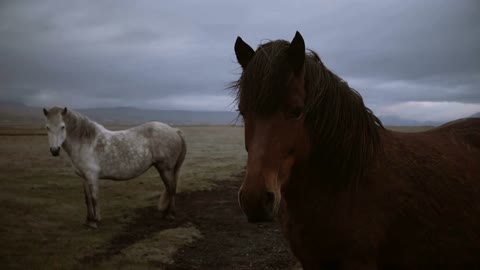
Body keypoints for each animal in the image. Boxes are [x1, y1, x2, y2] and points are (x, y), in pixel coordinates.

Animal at [43, 107, 187, 228]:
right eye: (47, 127)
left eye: (62, 127)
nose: (54, 150)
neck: (86, 142)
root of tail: (175, 131)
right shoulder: (83, 177)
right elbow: (87, 199)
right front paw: (88, 220)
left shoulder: (92, 176)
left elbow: (94, 198)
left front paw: (95, 221)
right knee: (170, 189)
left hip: (165, 169)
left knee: (171, 188)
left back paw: (170, 214)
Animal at [232, 32, 480, 270]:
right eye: (243, 112)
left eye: (296, 111)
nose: (254, 200)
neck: (343, 182)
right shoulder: (310, 261)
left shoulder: (359, 260)